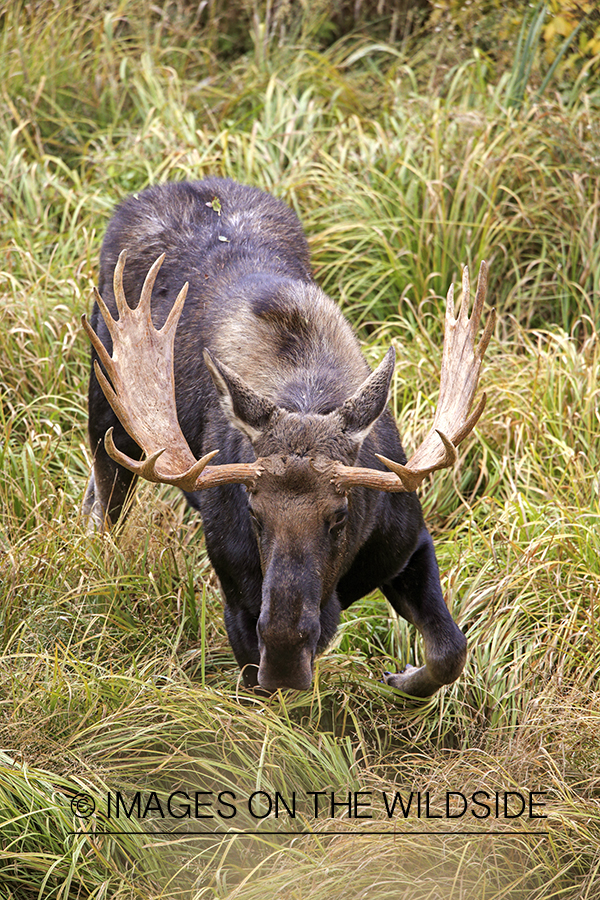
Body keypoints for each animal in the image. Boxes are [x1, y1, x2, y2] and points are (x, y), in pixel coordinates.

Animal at [82, 176, 494, 696]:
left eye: (339, 515)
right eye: (253, 512)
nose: (283, 650)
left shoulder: (408, 543)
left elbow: (450, 651)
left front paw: (400, 677)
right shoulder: (238, 601)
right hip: (110, 409)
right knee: (104, 503)